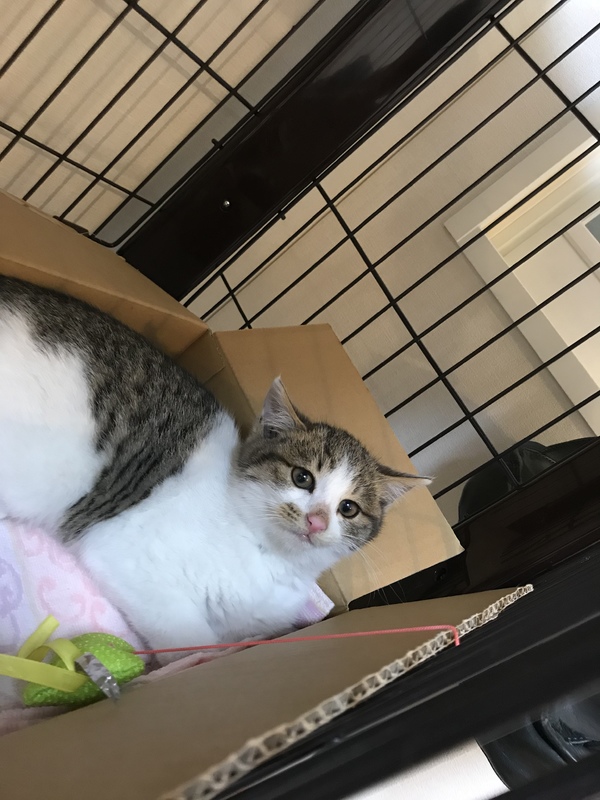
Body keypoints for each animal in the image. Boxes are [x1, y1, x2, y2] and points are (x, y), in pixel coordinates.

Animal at [0, 275, 430, 660]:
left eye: (348, 508)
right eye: (302, 477)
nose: (317, 521)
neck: (270, 555)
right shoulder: (123, 546)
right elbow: (189, 638)